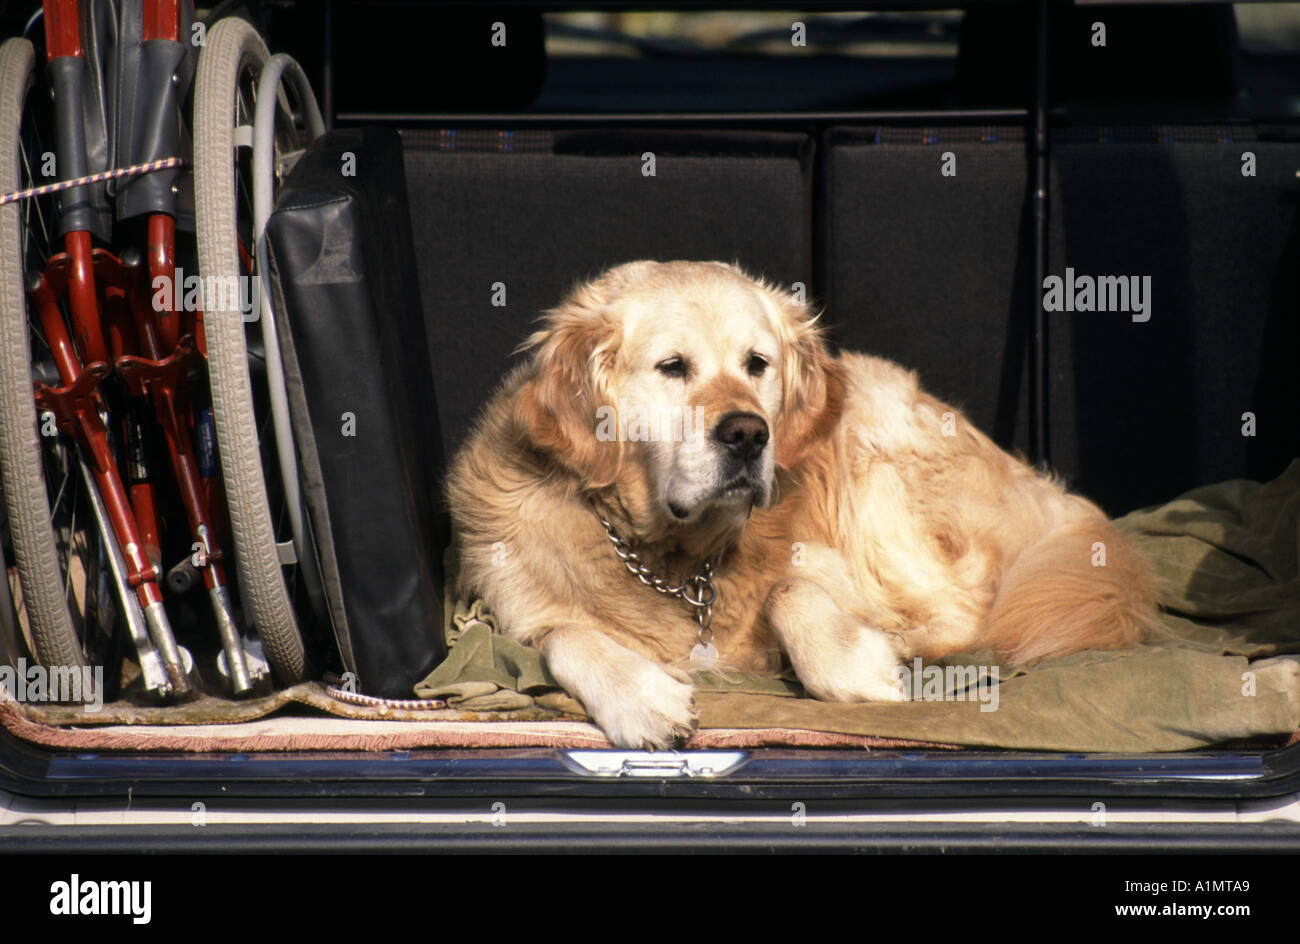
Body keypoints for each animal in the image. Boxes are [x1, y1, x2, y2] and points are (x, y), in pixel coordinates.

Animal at [447, 258, 1159, 748]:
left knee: (967, 612)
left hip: (879, 462)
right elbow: (562, 634)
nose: (747, 434)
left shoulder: (827, 560)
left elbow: (788, 593)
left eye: (757, 363)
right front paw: (640, 696)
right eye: (672, 367)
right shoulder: (511, 599)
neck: (677, 559)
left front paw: (856, 664)